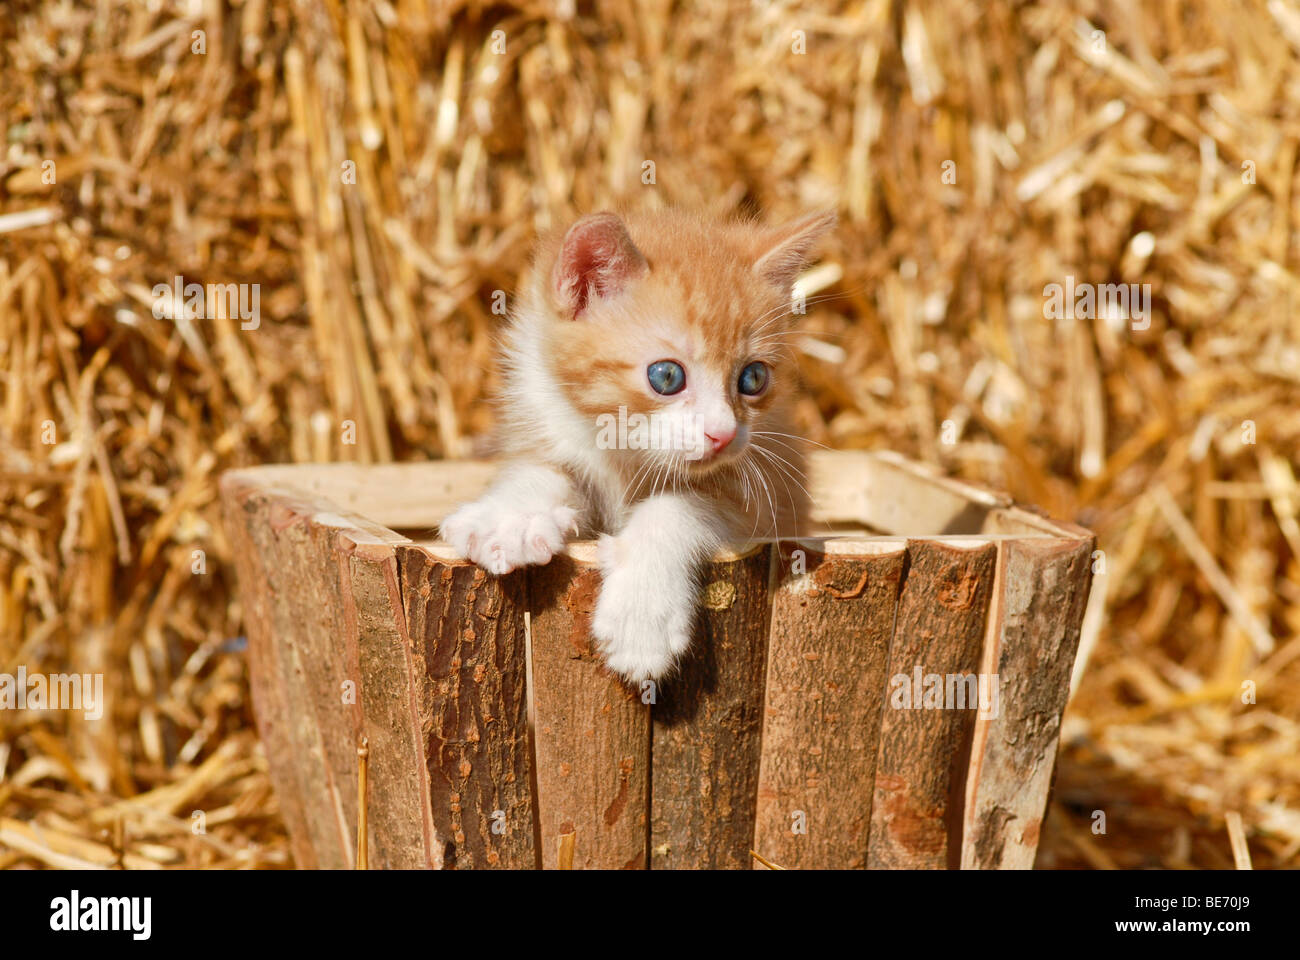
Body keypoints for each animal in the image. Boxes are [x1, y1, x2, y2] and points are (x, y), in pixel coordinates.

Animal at [441, 208, 837, 681]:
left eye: (753, 378)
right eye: (666, 376)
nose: (723, 433)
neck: (623, 455)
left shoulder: (765, 495)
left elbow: (677, 507)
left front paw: (642, 614)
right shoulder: (543, 422)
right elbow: (539, 472)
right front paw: (511, 519)